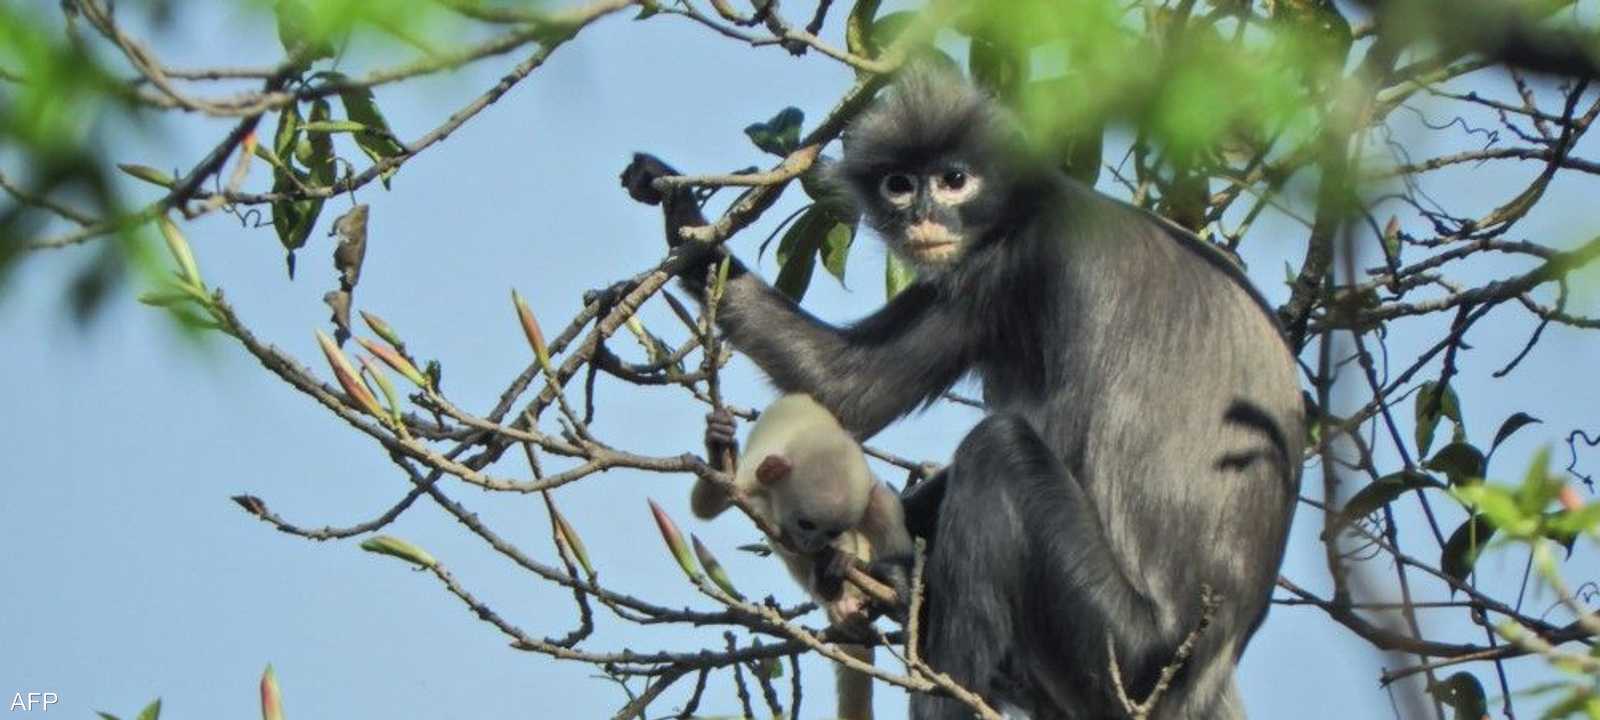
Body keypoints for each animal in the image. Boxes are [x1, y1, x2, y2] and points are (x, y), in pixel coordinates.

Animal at [691, 393, 915, 720]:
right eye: (806, 524)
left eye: (831, 531)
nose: (812, 542)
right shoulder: (752, 477)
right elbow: (706, 506)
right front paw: (718, 445)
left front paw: (856, 564)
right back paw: (833, 591)